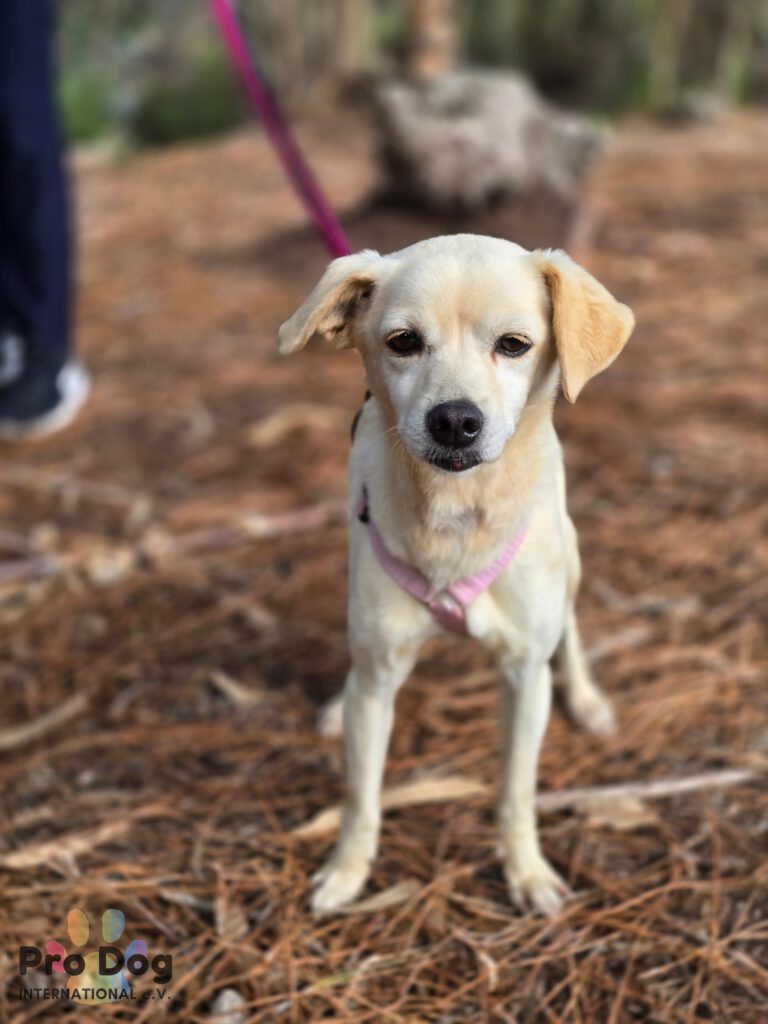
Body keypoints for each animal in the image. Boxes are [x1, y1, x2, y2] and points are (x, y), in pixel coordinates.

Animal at [278, 234, 634, 915]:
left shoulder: (524, 678)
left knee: (571, 633)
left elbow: (516, 792)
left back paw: (587, 700)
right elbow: (361, 795)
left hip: (571, 562)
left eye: (515, 344)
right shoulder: (378, 677)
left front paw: (526, 872)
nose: (454, 420)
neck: (455, 517)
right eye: (402, 341)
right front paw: (346, 870)